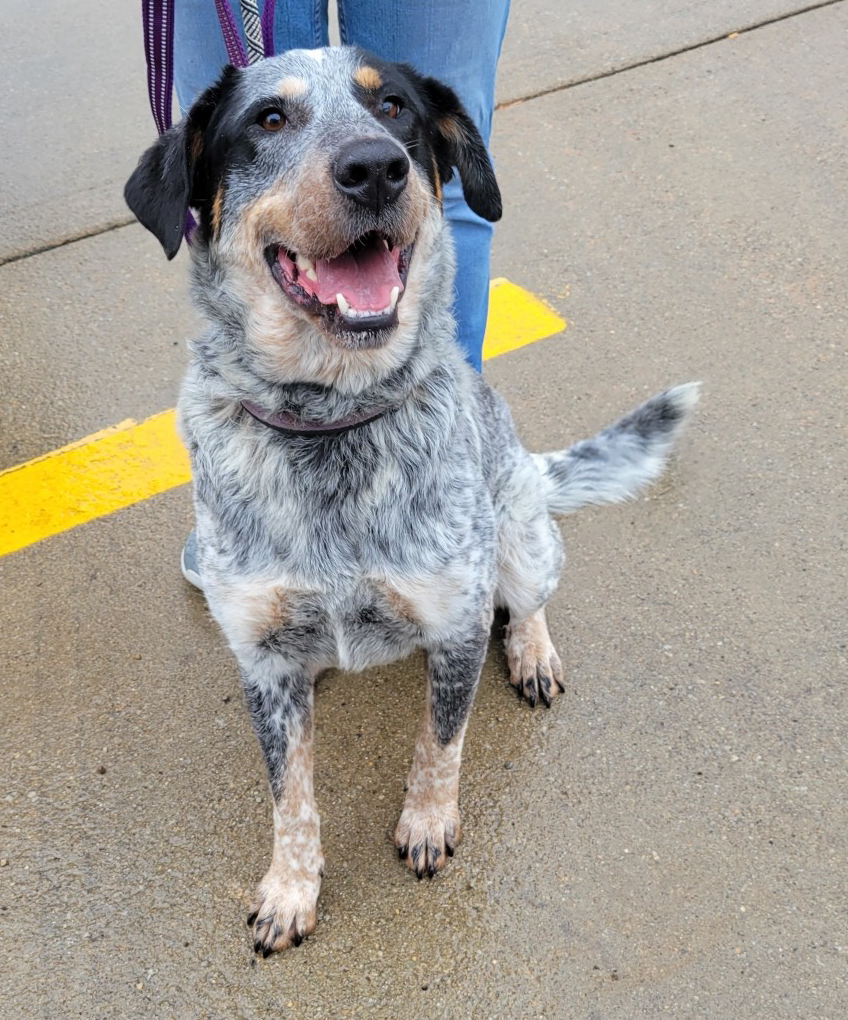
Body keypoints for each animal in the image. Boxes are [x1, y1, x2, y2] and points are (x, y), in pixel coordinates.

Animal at [125, 46, 698, 956]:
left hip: (522, 533)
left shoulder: (456, 624)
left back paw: (532, 651)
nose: (374, 167)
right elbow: (291, 798)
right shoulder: (263, 662)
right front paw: (290, 890)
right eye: (269, 120)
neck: (330, 420)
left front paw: (427, 826)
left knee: (530, 596)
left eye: (393, 107)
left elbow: (440, 744)